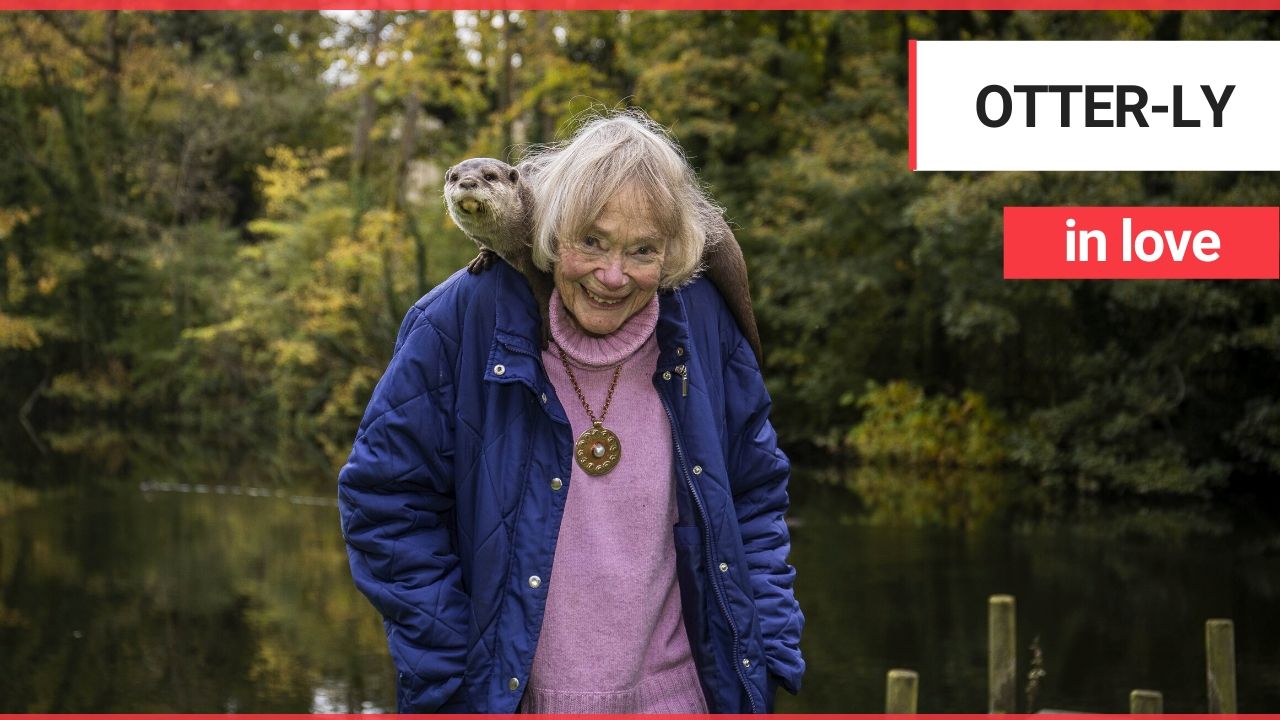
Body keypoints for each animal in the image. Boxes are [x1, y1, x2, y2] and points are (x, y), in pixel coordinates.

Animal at [442, 157, 757, 363]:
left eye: (489, 176)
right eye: (454, 177)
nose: (468, 182)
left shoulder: (537, 263)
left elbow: (544, 293)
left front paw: (548, 325)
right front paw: (483, 257)